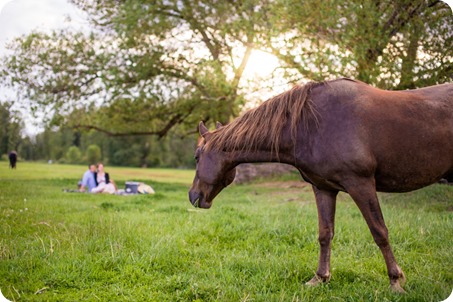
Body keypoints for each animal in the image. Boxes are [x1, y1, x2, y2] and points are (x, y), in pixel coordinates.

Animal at [187, 78, 452, 292]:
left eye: (197, 156)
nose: (193, 196)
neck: (312, 124)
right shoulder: (324, 188)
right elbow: (325, 233)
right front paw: (320, 278)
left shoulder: (360, 184)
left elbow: (379, 232)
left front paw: (395, 281)